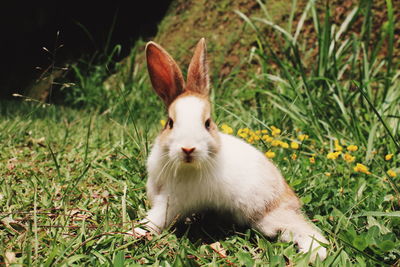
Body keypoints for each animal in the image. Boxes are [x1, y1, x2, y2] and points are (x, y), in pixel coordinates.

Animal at [135, 38, 328, 262]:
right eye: (170, 123)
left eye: (207, 123)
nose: (188, 148)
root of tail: (289, 197)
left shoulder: (172, 202)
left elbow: (156, 219)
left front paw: (134, 232)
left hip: (268, 217)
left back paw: (315, 252)